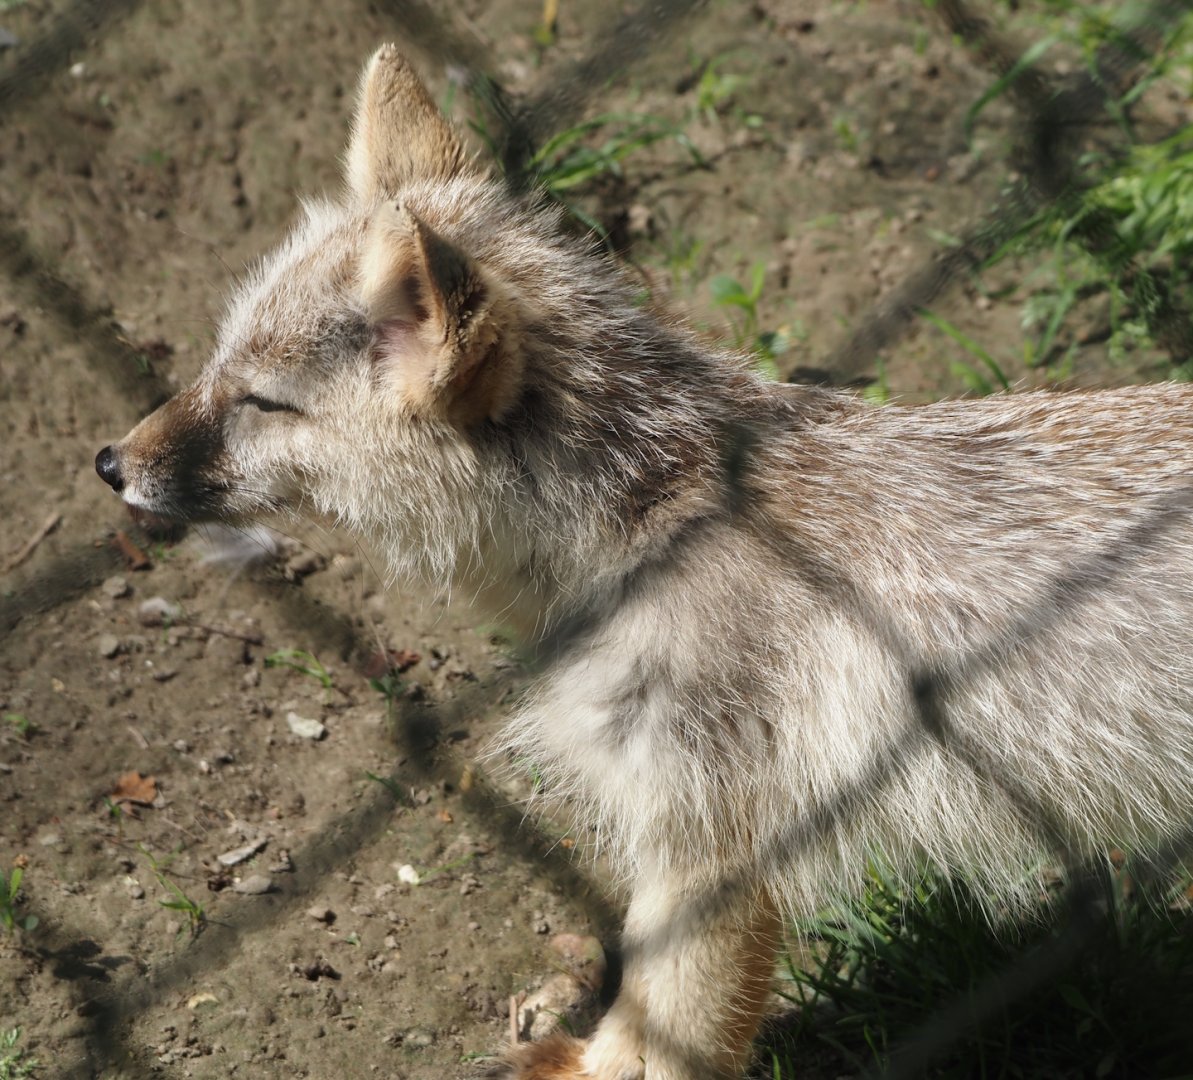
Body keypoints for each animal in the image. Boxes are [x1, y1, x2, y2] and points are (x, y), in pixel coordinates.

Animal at [94, 44, 1193, 1080]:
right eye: (216, 365)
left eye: (263, 404)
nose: (111, 463)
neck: (647, 517)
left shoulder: (704, 836)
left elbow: (670, 1018)